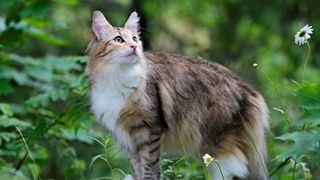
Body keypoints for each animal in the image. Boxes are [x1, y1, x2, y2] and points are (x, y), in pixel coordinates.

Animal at [86, 11, 268, 180]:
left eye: (135, 38)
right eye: (118, 40)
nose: (134, 46)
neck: (117, 76)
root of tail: (250, 90)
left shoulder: (149, 130)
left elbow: (149, 165)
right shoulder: (124, 137)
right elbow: (137, 166)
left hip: (220, 151)